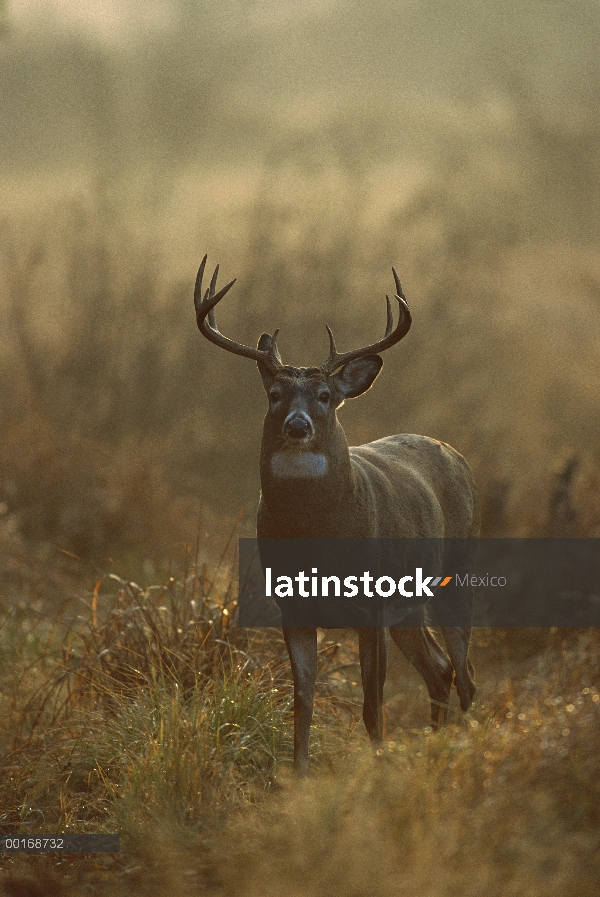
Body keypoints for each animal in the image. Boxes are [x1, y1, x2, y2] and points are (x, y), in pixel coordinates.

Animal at [195, 256, 476, 772]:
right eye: (275, 395)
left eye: (324, 396)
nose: (297, 425)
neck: (317, 535)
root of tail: (455, 454)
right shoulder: (293, 608)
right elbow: (302, 704)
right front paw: (298, 777)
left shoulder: (373, 604)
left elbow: (372, 705)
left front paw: (377, 768)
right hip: (410, 607)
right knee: (441, 667)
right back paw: (437, 745)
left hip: (454, 572)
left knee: (465, 673)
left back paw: (461, 750)